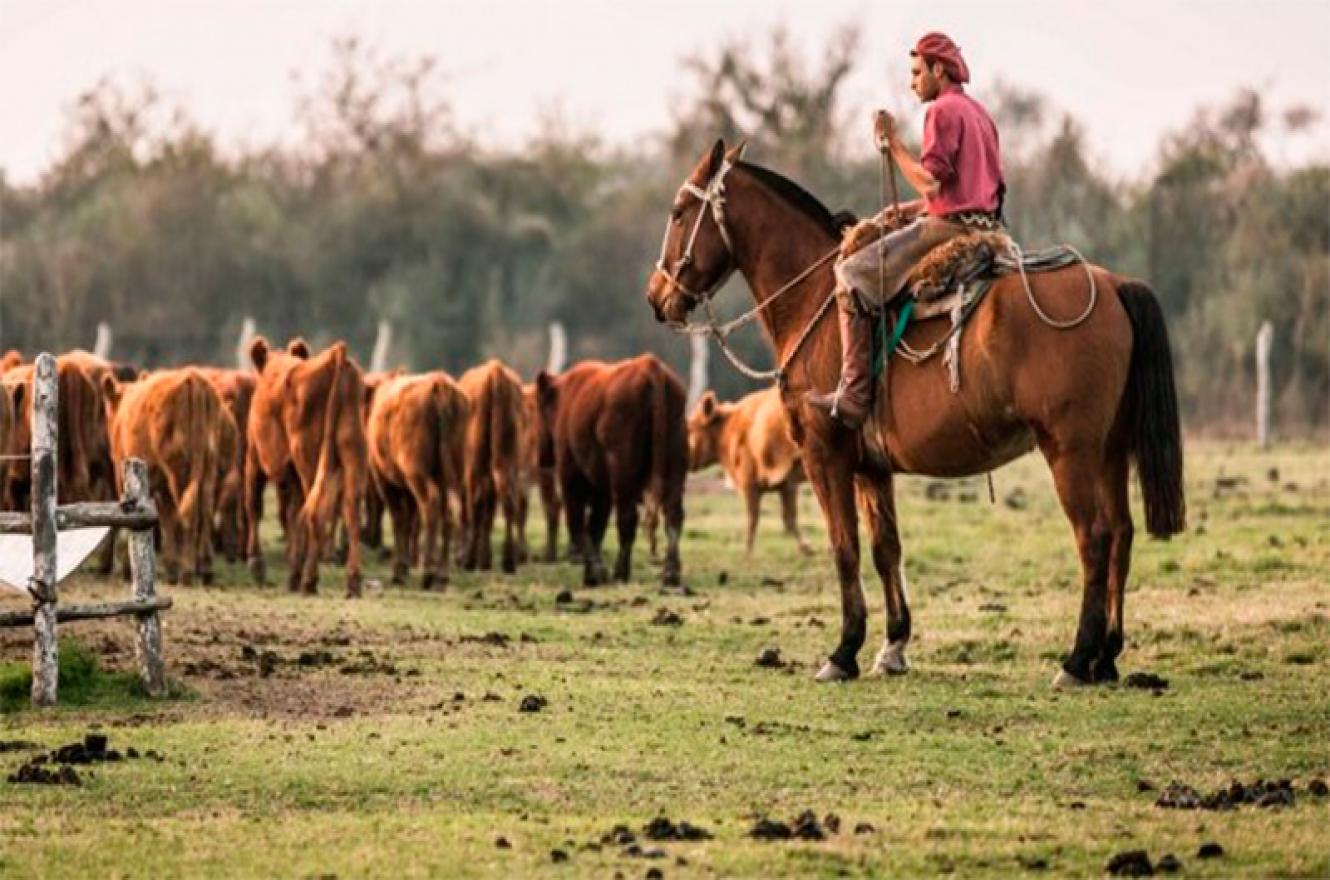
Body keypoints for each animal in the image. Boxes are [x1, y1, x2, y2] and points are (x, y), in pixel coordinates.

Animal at [646, 139, 1186, 691]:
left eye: (677, 211)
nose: (657, 297)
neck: (816, 299)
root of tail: (1115, 284)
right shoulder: (871, 468)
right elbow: (886, 548)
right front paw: (893, 646)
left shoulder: (825, 457)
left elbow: (844, 548)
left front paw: (844, 650)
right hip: (1110, 451)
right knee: (1121, 532)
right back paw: (1107, 656)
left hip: (1070, 451)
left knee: (1094, 537)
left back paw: (1077, 660)